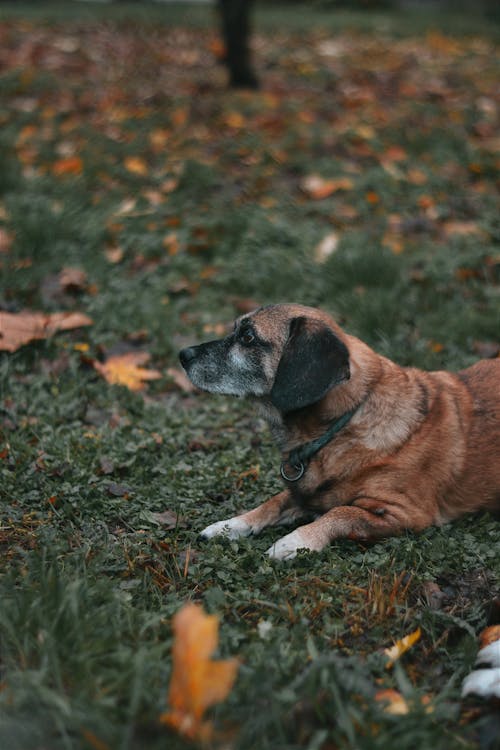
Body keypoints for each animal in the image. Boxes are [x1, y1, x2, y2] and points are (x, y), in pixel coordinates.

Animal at [178, 304, 498, 560]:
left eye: (247, 337)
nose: (182, 354)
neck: (343, 424)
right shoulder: (306, 493)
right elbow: (273, 502)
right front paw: (230, 525)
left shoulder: (406, 513)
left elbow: (343, 512)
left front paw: (296, 541)